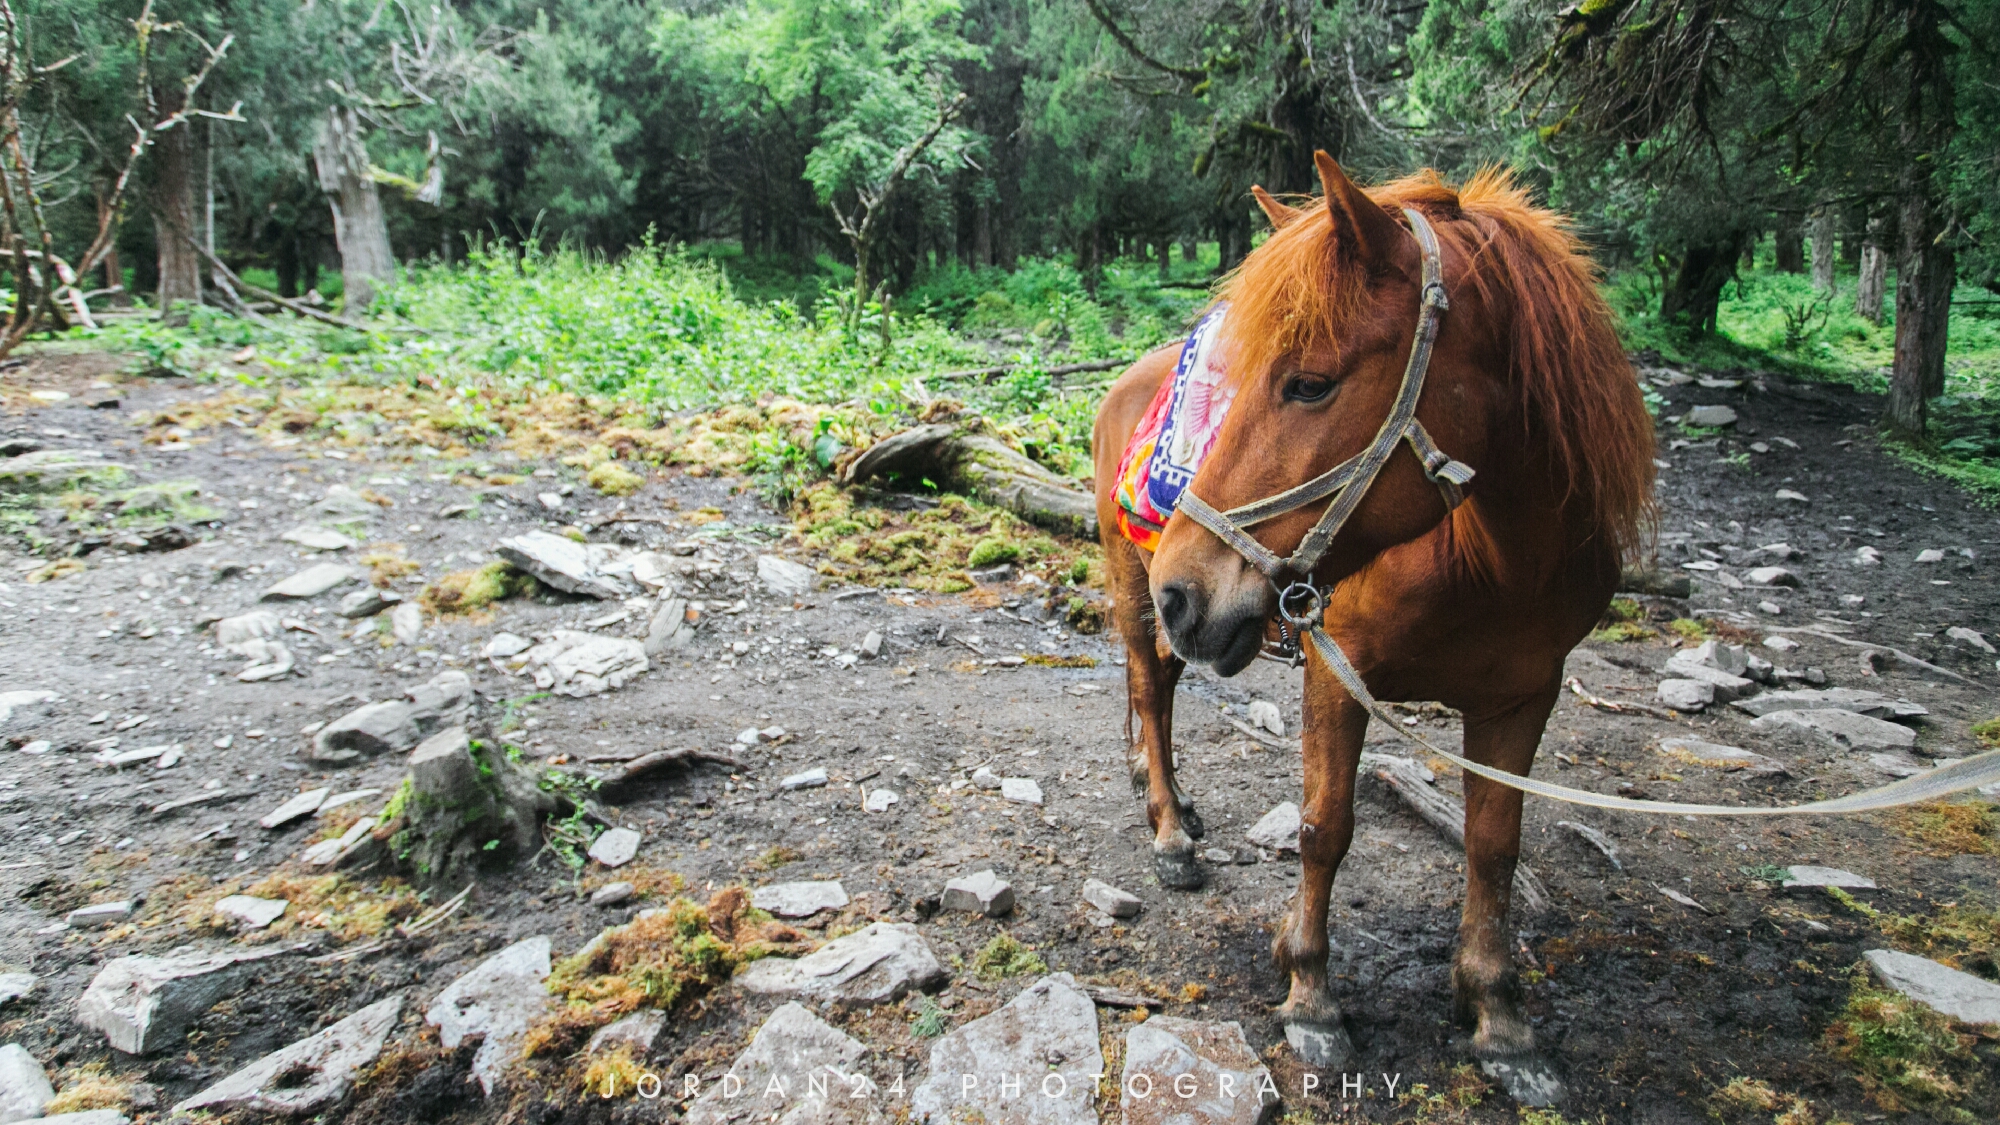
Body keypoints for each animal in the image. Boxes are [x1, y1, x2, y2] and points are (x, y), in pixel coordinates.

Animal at [1096, 153, 1656, 1088]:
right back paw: (1171, 830)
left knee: (1160, 690)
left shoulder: (1524, 696)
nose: (1184, 585)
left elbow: (1494, 846)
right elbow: (1326, 829)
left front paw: (1498, 1011)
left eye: (1310, 382)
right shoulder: (1336, 669)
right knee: (1149, 684)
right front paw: (1310, 991)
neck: (1493, 558)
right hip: (1130, 586)